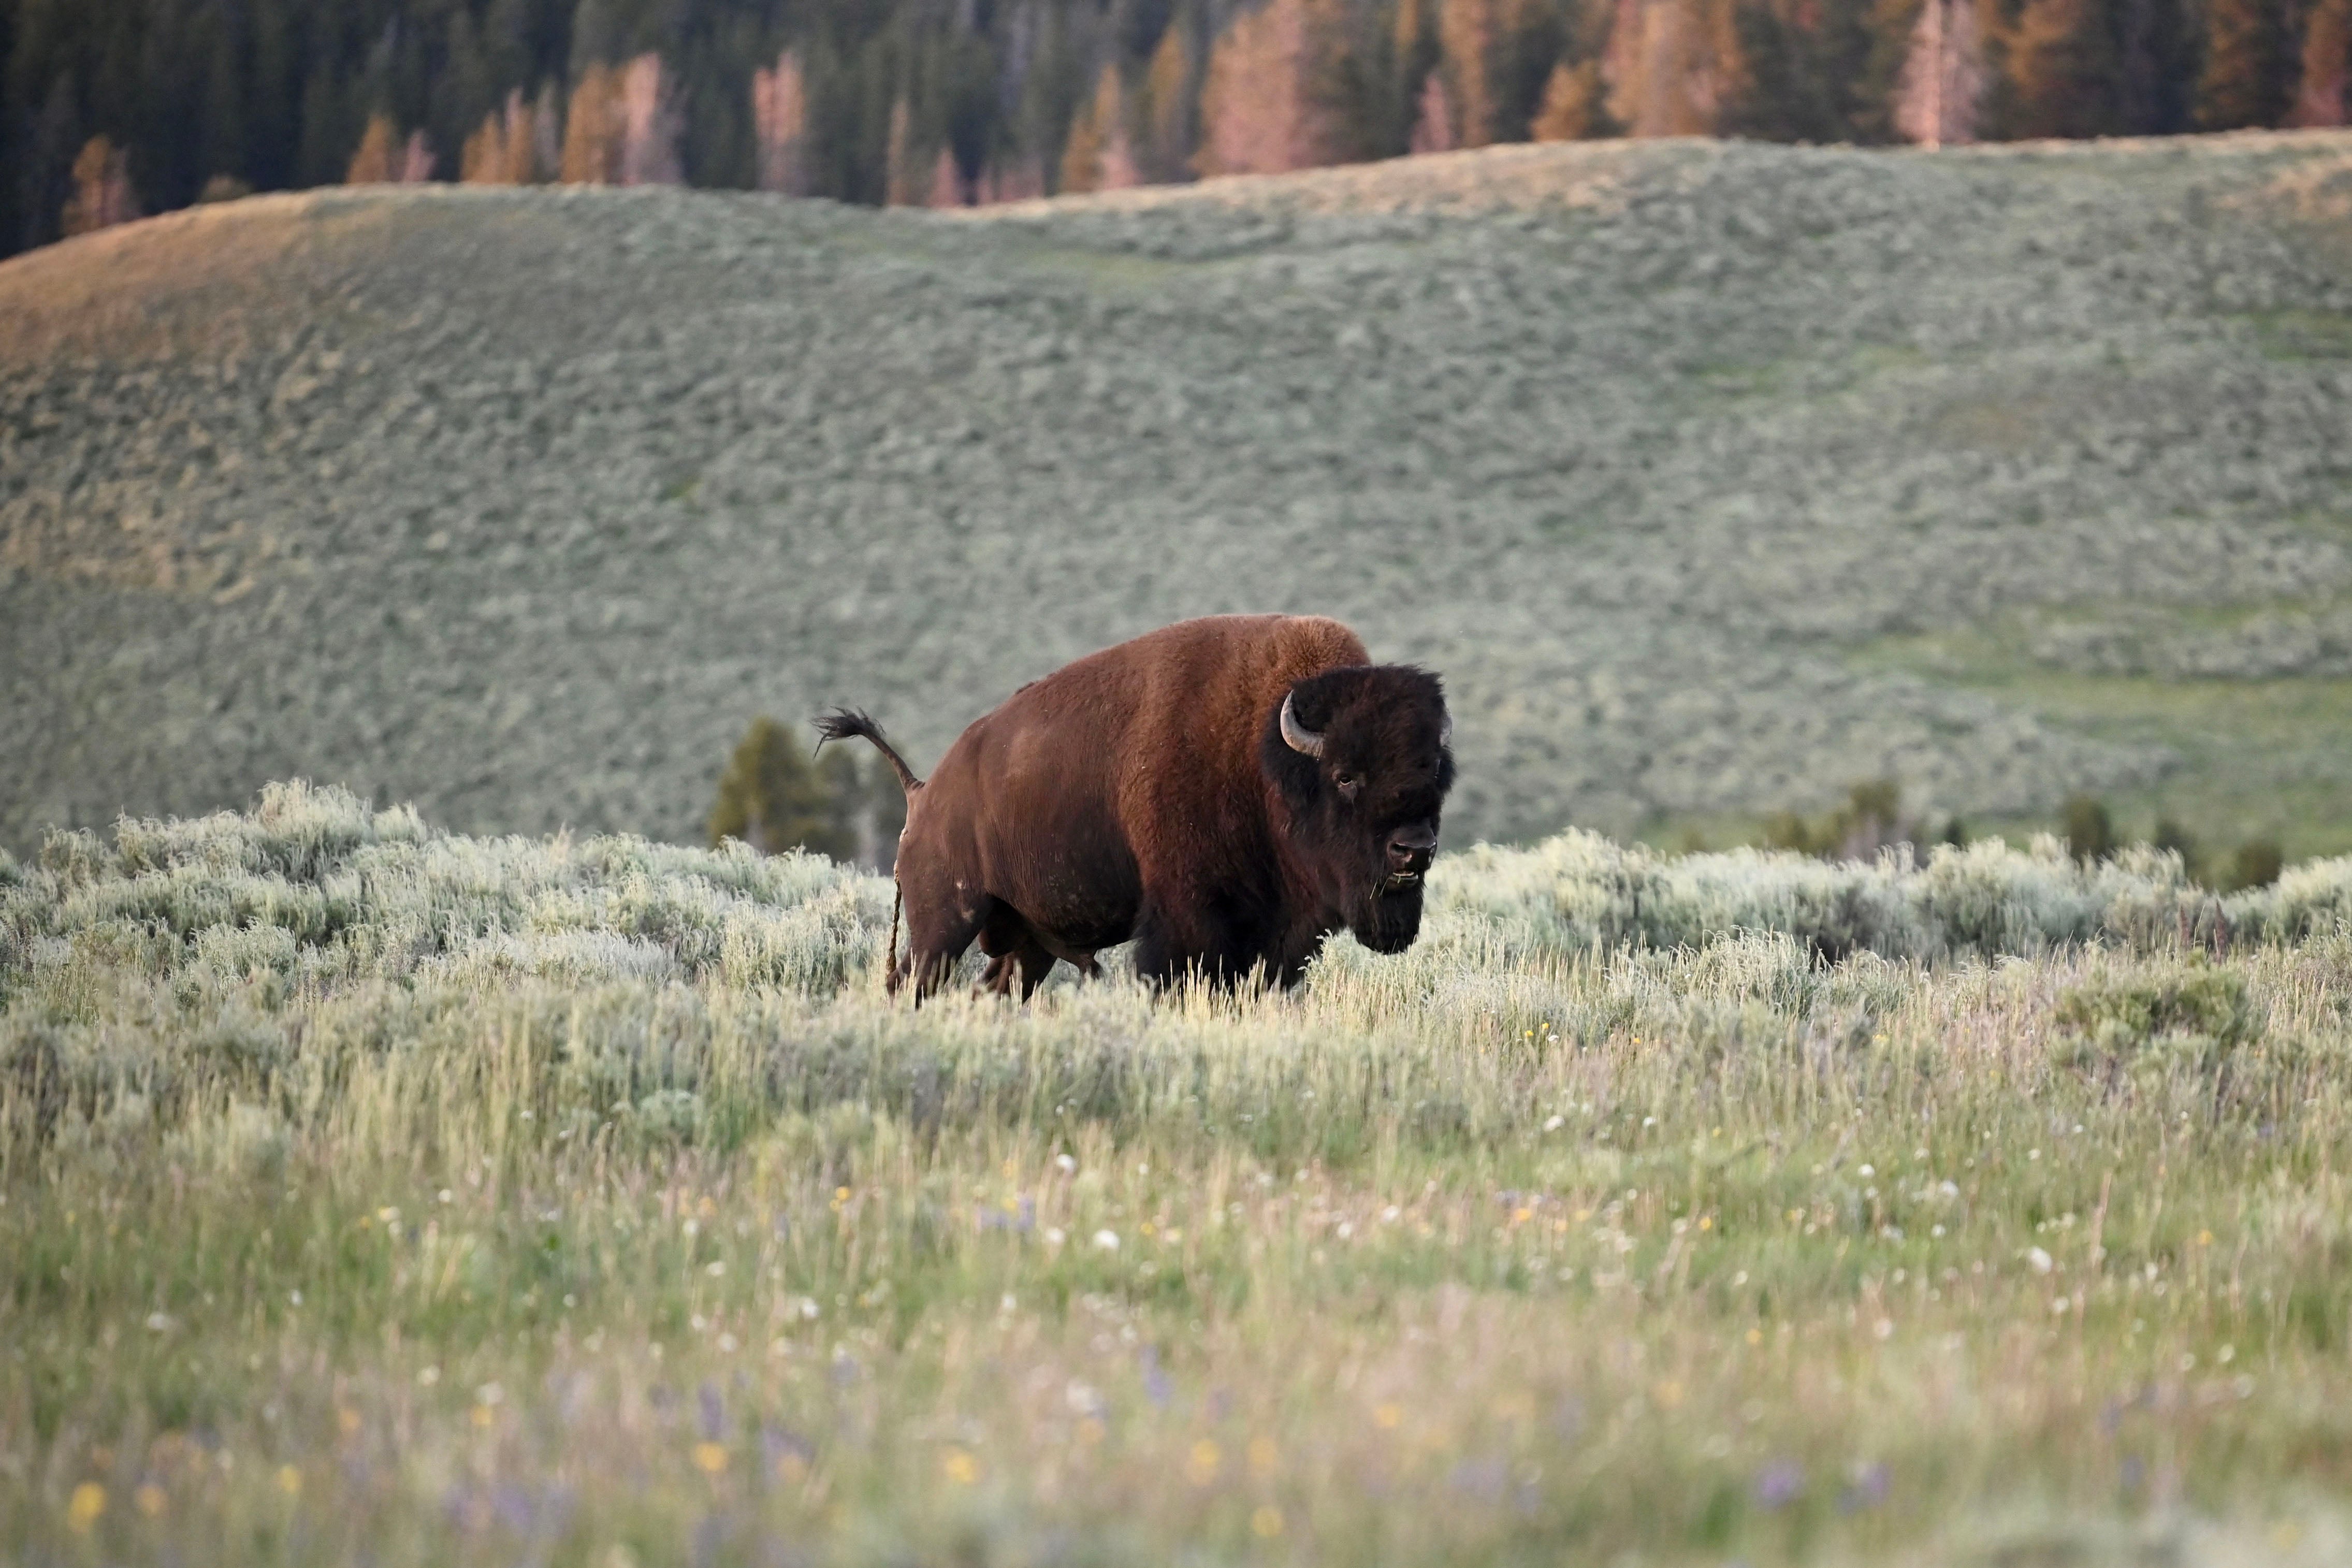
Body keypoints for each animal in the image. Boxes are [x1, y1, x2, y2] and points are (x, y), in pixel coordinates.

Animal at [815, 614, 1454, 996]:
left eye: (1435, 774)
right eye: (1345, 776)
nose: (1414, 849)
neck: (1264, 755)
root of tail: (924, 792)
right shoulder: (1187, 924)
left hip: (1025, 940)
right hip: (945, 923)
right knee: (911, 983)